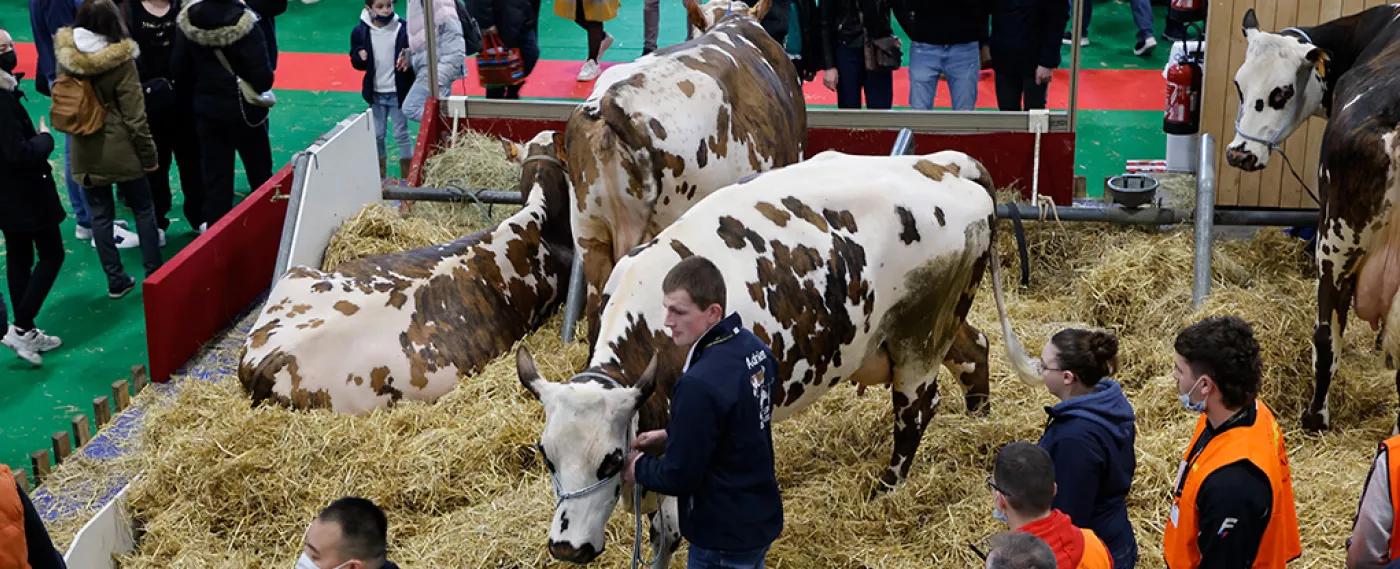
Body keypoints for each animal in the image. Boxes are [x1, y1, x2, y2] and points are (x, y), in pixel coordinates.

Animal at [515, 149, 1041, 563]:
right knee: (976, 352)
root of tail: (941, 164)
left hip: (919, 335)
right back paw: (979, 424)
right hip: (940, 321)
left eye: (610, 460)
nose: (567, 548)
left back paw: (886, 488)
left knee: (916, 410)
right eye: (547, 457)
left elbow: (670, 531)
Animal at [1232, 6, 1400, 428]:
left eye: (1281, 92)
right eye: (1240, 85)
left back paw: (1314, 419)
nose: (1239, 154)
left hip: (1335, 243)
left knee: (1325, 339)